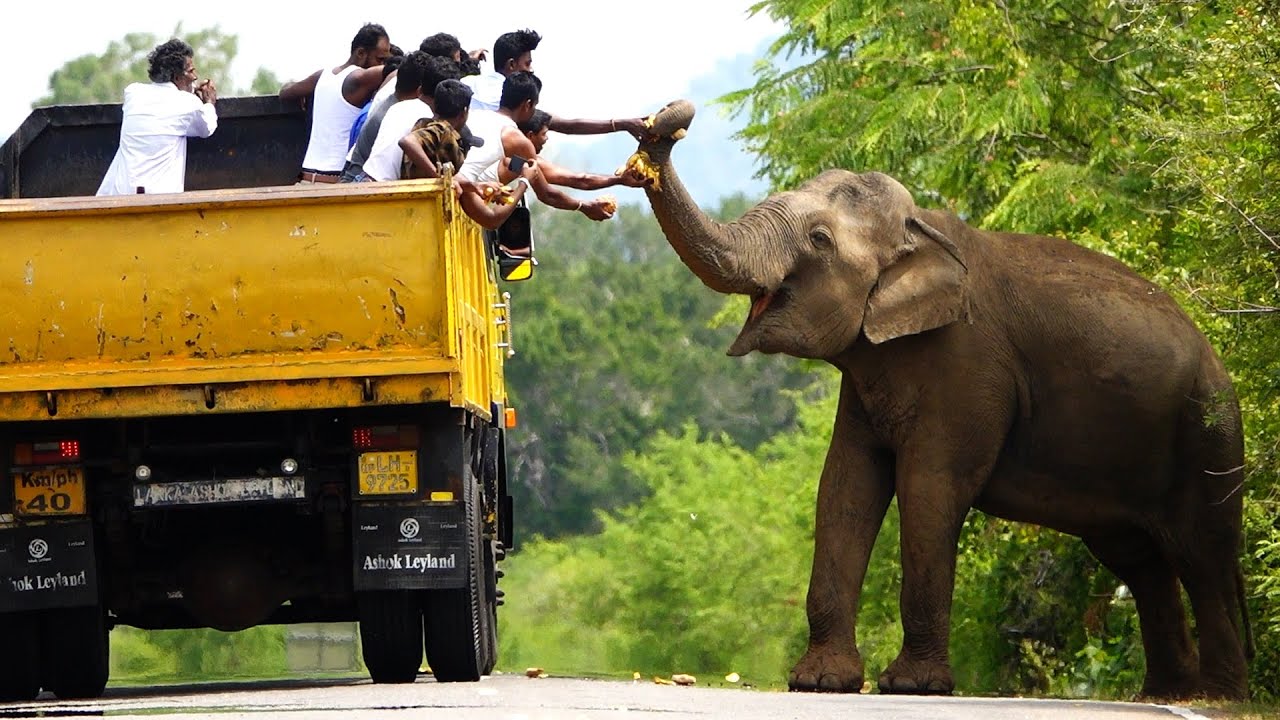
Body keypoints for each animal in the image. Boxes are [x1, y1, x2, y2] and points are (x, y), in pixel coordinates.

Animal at [624, 99, 1253, 700]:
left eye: (819, 240)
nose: (666, 119)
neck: (920, 227)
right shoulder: (868, 380)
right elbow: (846, 485)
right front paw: (820, 681)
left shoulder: (969, 367)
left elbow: (929, 487)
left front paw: (911, 685)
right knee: (1139, 561)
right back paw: (1165, 691)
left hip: (1208, 431)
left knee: (1204, 554)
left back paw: (1217, 694)